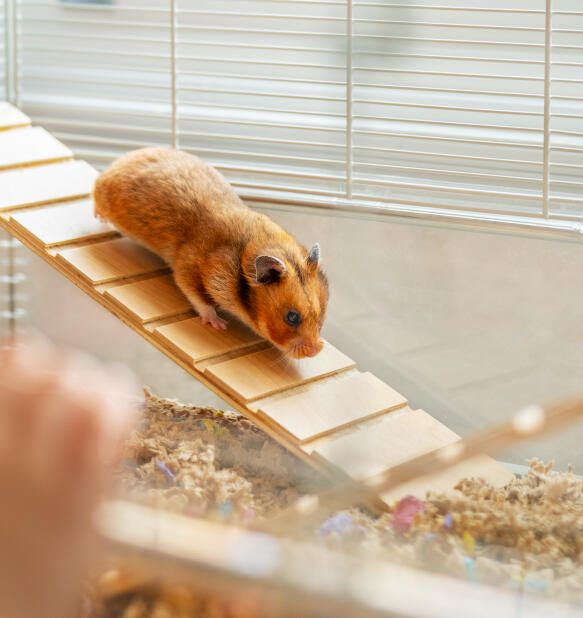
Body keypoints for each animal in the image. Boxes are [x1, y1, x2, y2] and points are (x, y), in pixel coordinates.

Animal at [92, 147, 328, 358]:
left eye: (321, 314)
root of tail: (123, 159)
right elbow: (199, 300)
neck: (242, 257)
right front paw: (219, 325)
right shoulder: (191, 271)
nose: (316, 351)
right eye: (292, 317)